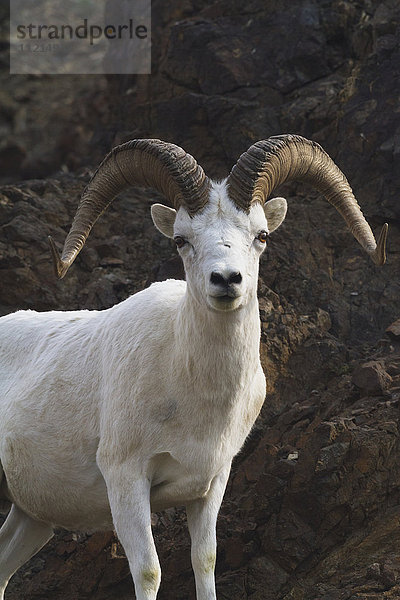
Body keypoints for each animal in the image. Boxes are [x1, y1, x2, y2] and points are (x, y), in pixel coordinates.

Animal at [0, 136, 388, 600]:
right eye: (181, 240)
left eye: (261, 235)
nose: (226, 280)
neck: (190, 391)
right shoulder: (126, 479)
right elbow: (149, 571)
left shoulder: (210, 486)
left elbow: (205, 560)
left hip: (31, 518)